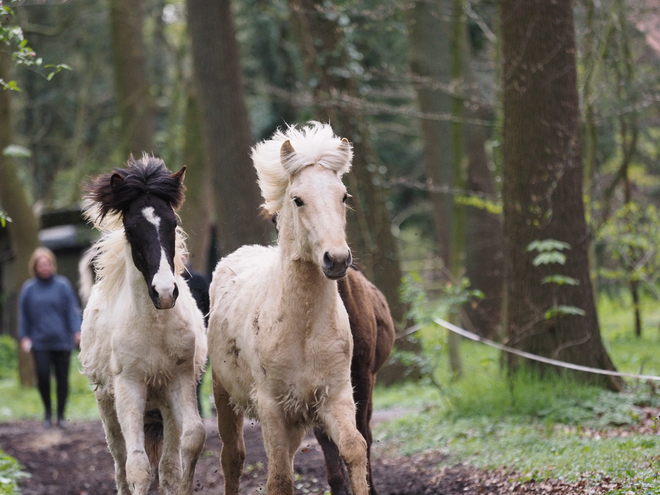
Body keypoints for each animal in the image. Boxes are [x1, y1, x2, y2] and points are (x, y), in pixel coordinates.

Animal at [81, 158, 208, 495]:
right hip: (107, 404)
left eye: (172, 224)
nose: (164, 292)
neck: (155, 328)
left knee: (168, 464)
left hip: (162, 405)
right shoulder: (129, 387)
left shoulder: (180, 381)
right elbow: (136, 466)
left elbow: (193, 440)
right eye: (130, 228)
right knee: (120, 462)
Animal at [209, 123, 368, 495]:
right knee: (232, 457)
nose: (337, 259)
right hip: (223, 394)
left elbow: (354, 449)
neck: (302, 330)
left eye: (344, 197)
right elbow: (279, 478)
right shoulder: (271, 407)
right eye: (298, 199)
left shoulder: (335, 397)